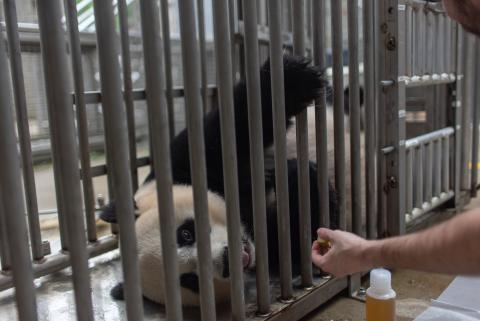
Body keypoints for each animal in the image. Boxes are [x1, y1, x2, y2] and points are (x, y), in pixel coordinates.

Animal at [101, 55, 342, 304]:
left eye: (185, 234)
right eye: (191, 281)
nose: (228, 260)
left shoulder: (182, 165)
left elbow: (233, 126)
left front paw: (293, 76)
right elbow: (295, 242)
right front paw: (298, 179)